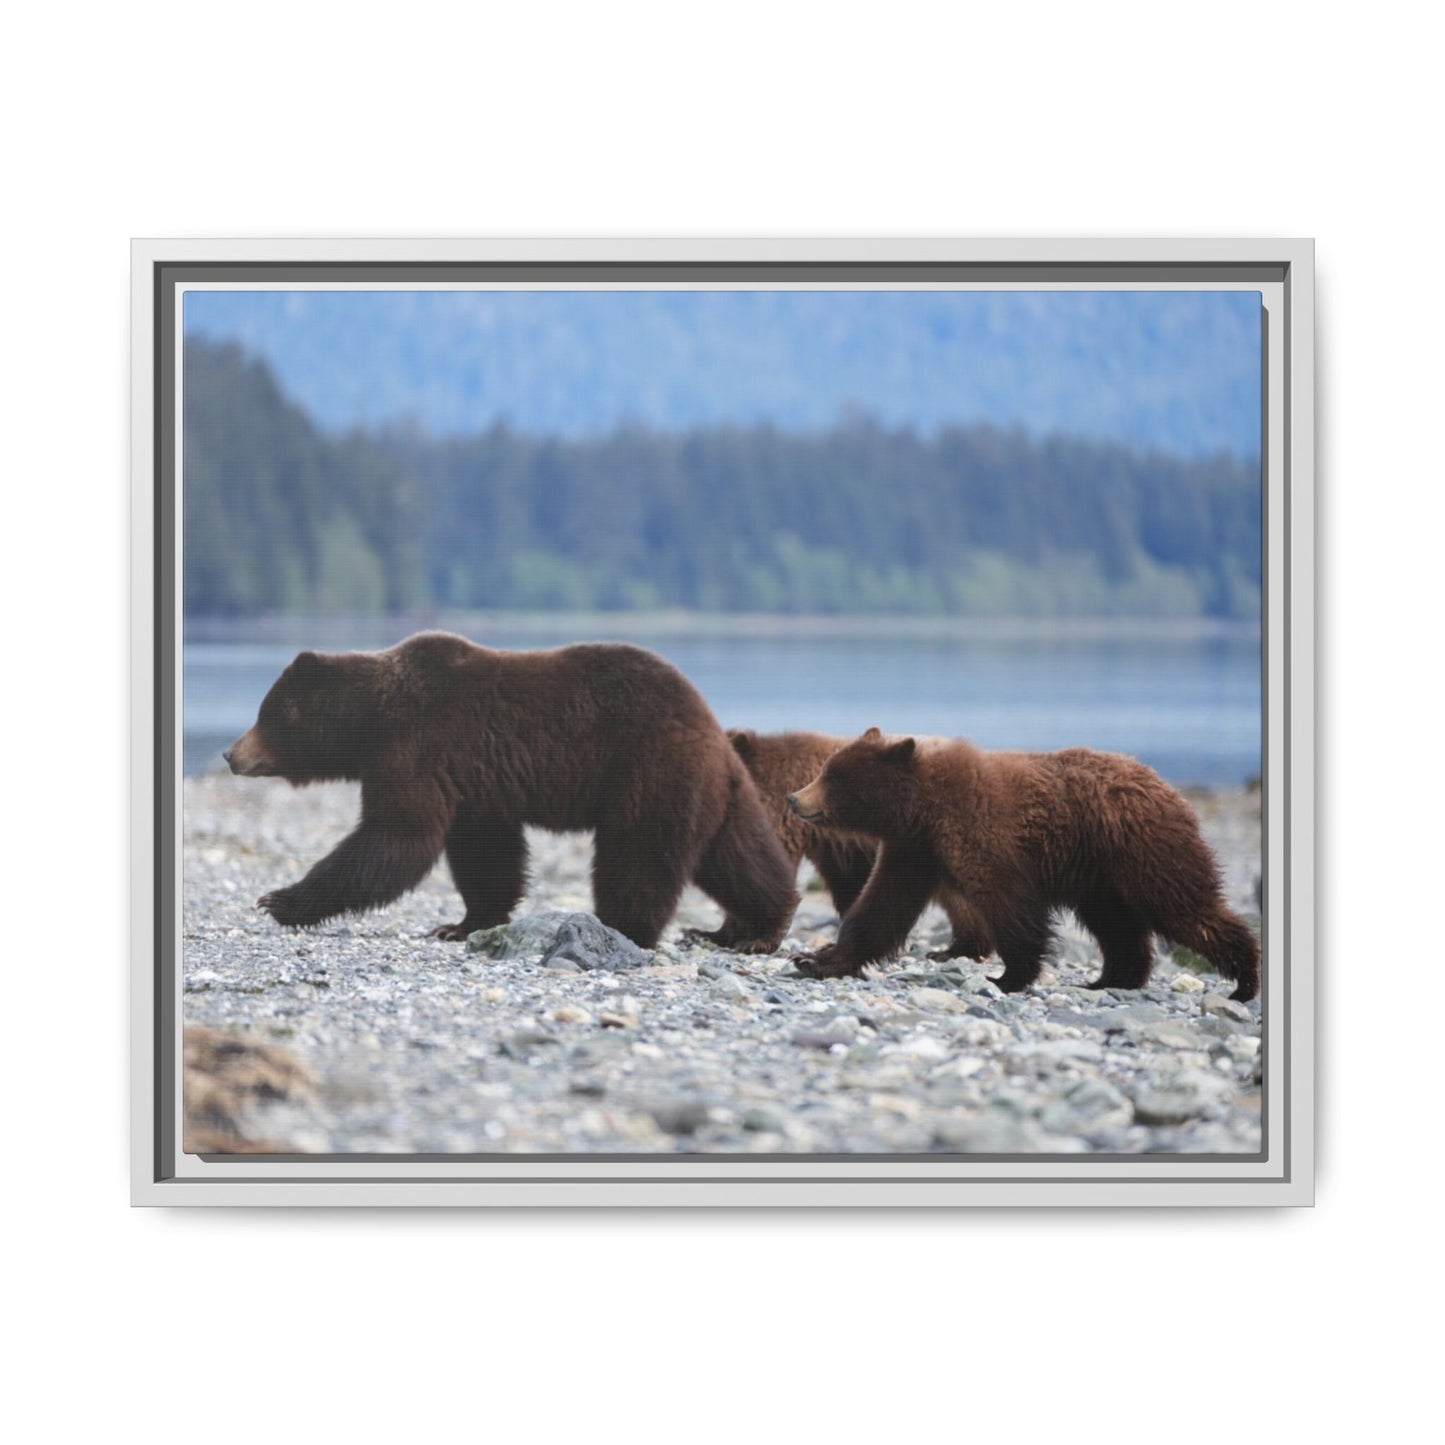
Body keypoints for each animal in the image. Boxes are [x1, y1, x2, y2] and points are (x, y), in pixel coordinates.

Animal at [224, 633, 798, 953]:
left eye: (264, 713)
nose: (230, 754)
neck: (373, 721)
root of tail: (710, 725)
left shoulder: (419, 748)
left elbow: (395, 838)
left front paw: (279, 900)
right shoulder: (474, 784)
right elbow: (485, 854)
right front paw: (461, 924)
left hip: (648, 771)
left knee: (638, 857)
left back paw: (622, 927)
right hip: (716, 791)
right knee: (739, 857)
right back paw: (754, 928)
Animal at [785, 727, 1260, 1001]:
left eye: (833, 776)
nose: (794, 798)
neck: (924, 809)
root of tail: (1168, 786)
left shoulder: (983, 835)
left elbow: (1009, 906)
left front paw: (1006, 977)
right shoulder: (913, 849)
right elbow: (880, 907)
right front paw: (815, 959)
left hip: (1143, 850)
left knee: (1184, 907)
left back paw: (1244, 980)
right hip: (1101, 877)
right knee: (1117, 925)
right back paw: (1110, 979)